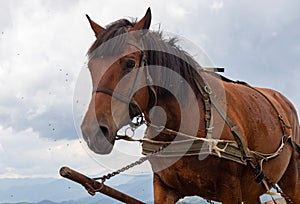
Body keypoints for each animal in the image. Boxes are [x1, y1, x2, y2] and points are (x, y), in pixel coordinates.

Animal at [81, 7, 300, 202]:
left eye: (129, 63)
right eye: (91, 68)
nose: (92, 131)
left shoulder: (230, 190)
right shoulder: (163, 188)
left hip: (291, 177)